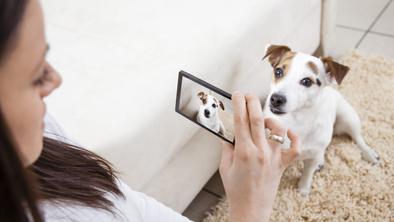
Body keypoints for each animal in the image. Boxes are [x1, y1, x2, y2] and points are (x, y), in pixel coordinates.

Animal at [262, 44, 378, 196]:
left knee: (358, 138)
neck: (296, 121)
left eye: (307, 81)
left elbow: (307, 173)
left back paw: (368, 153)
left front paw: (303, 190)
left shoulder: (311, 158)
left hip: (348, 117)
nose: (276, 99)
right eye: (278, 72)